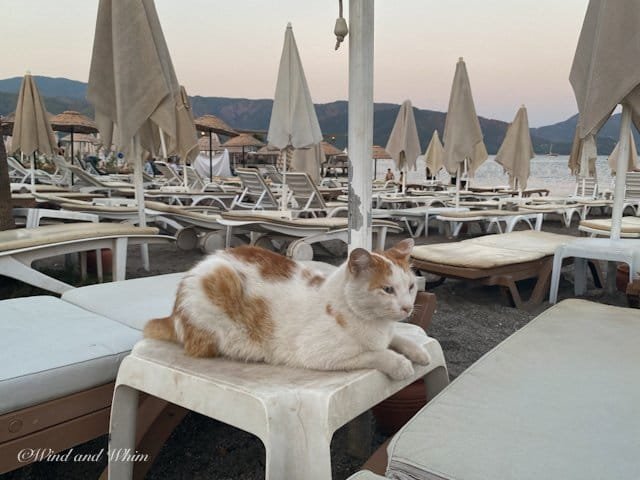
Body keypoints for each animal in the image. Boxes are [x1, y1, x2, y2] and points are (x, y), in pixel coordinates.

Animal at [146, 238, 430, 380]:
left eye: (410, 286)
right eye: (387, 289)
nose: (407, 307)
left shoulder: (389, 331)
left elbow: (398, 336)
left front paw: (417, 351)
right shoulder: (320, 355)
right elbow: (374, 354)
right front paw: (399, 363)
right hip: (219, 289)